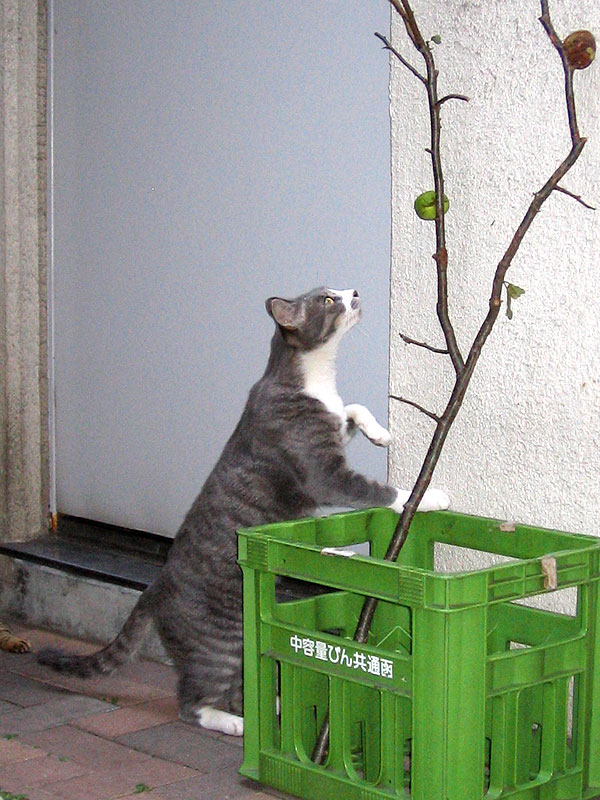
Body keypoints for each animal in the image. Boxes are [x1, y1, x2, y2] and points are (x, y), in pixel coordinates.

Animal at [38, 286, 448, 736]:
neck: (316, 378)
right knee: (192, 702)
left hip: (241, 638)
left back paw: (272, 707)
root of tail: (154, 586)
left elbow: (352, 408)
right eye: (326, 300)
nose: (353, 291)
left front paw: (381, 432)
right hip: (220, 644)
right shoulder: (324, 473)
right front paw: (429, 496)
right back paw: (234, 723)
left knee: (240, 687)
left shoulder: (333, 425)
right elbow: (378, 490)